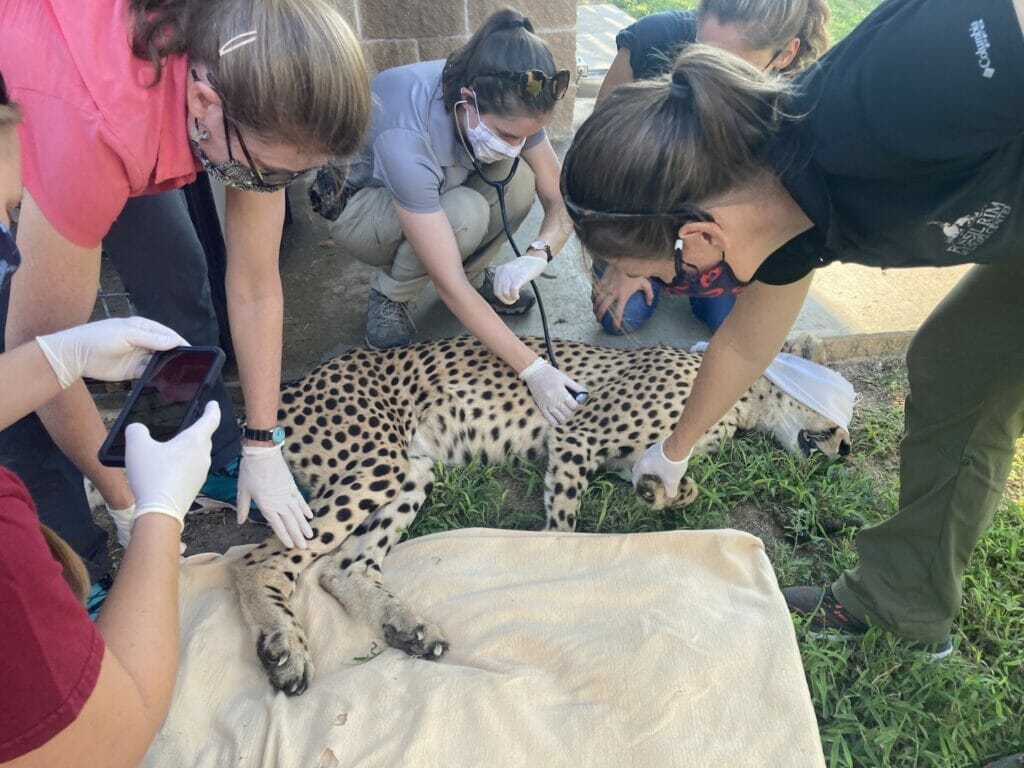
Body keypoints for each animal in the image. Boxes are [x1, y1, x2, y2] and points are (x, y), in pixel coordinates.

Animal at [235, 335, 851, 696]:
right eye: (842, 408)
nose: (846, 448)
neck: (743, 399)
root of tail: (293, 385)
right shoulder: (578, 431)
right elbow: (563, 526)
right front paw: (551, 568)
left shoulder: (628, 457)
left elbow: (674, 485)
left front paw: (665, 492)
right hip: (375, 461)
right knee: (258, 559)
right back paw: (284, 648)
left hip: (413, 471)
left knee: (342, 568)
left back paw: (407, 628)